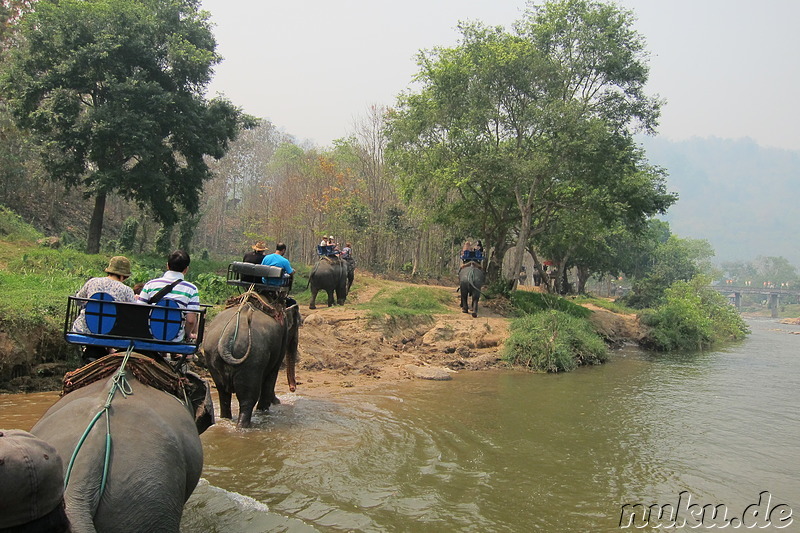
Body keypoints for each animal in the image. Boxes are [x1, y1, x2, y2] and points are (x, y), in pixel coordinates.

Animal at [202, 296, 298, 428]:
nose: (293, 389)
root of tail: (227, 337)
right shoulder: (281, 339)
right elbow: (272, 374)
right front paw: (267, 408)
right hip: (252, 361)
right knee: (247, 399)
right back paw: (244, 426)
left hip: (212, 357)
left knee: (223, 394)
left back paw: (226, 419)